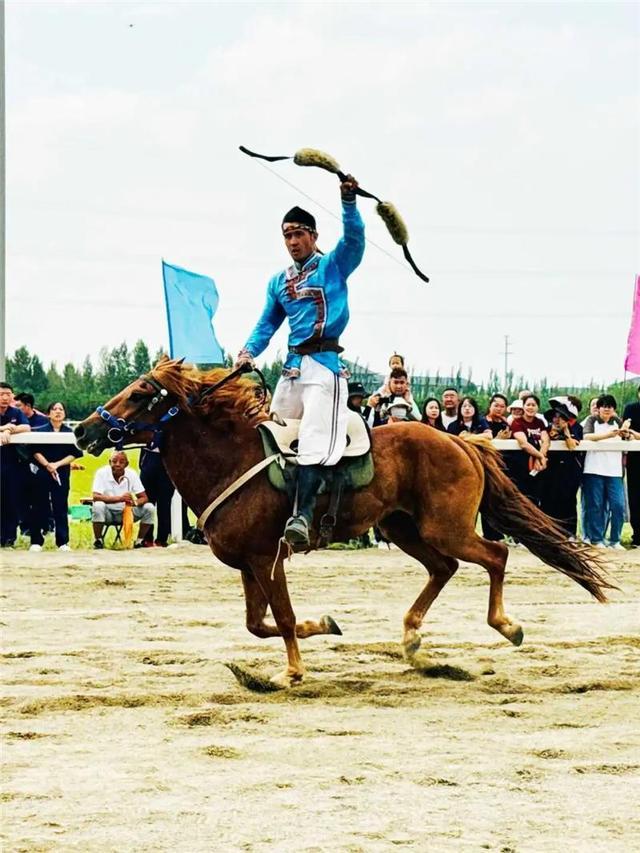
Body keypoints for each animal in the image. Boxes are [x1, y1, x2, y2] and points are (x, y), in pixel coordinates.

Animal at [75, 358, 608, 684]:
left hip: (446, 527)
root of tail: (460, 440)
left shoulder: (267, 558)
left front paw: (292, 671)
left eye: (140, 393)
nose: (83, 430)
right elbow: (257, 623)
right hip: (401, 527)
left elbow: (282, 617)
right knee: (444, 568)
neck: (232, 458)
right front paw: (325, 625)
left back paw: (505, 625)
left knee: (494, 555)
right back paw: (412, 637)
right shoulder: (248, 564)